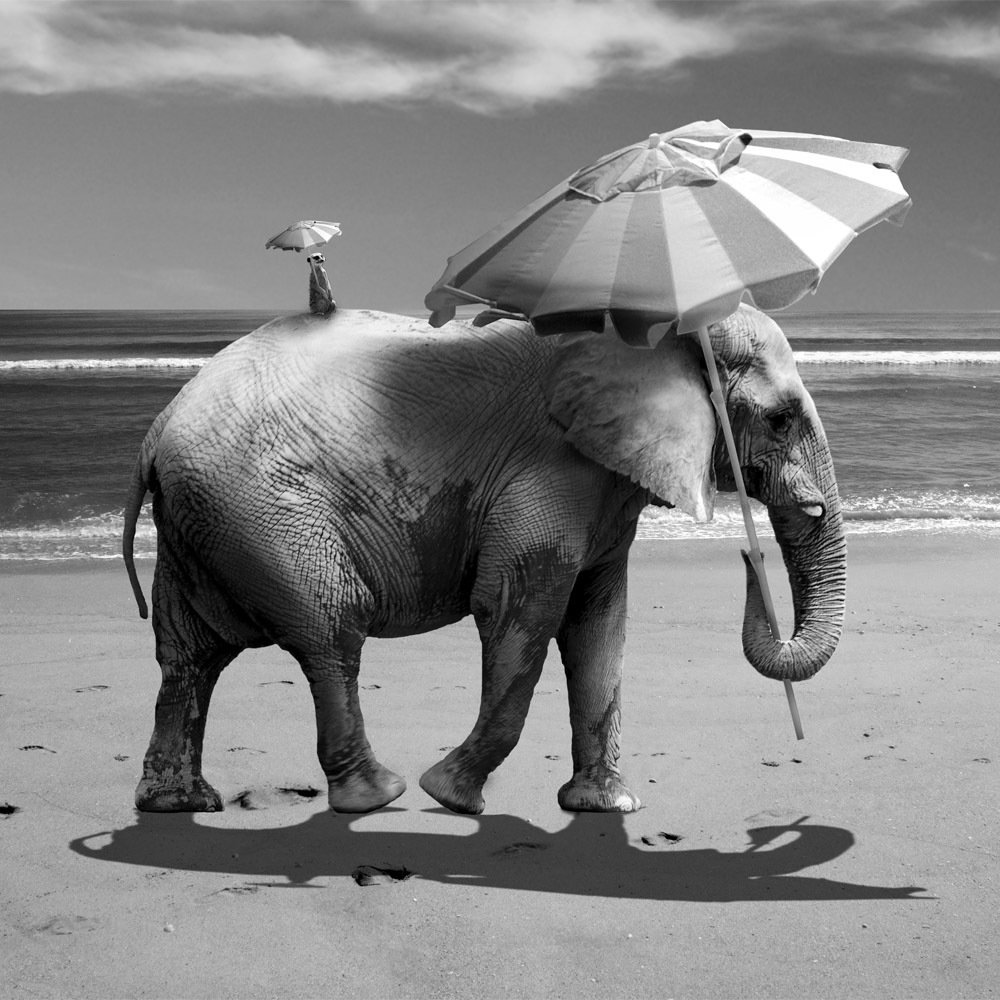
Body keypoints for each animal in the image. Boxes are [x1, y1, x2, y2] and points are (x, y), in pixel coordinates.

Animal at [122, 304, 846, 816]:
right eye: (781, 420)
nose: (751, 553)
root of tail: (156, 432)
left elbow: (599, 625)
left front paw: (607, 807)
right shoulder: (549, 474)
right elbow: (519, 607)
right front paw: (449, 796)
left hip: (201, 522)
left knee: (188, 656)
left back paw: (178, 805)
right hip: (260, 509)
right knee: (331, 629)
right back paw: (378, 797)